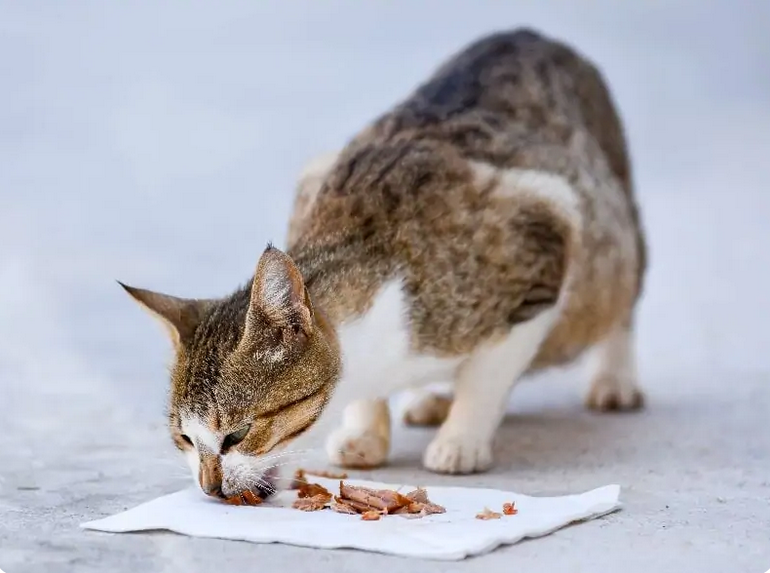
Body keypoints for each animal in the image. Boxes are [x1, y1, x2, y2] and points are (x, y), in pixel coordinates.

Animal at [123, 27, 644, 500]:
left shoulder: (543, 240)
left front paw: (461, 438)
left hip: (611, 233)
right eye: (185, 439)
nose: (209, 487)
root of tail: (527, 34)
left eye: (237, 435)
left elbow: (487, 375)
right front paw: (366, 431)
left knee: (620, 298)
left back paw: (613, 379)